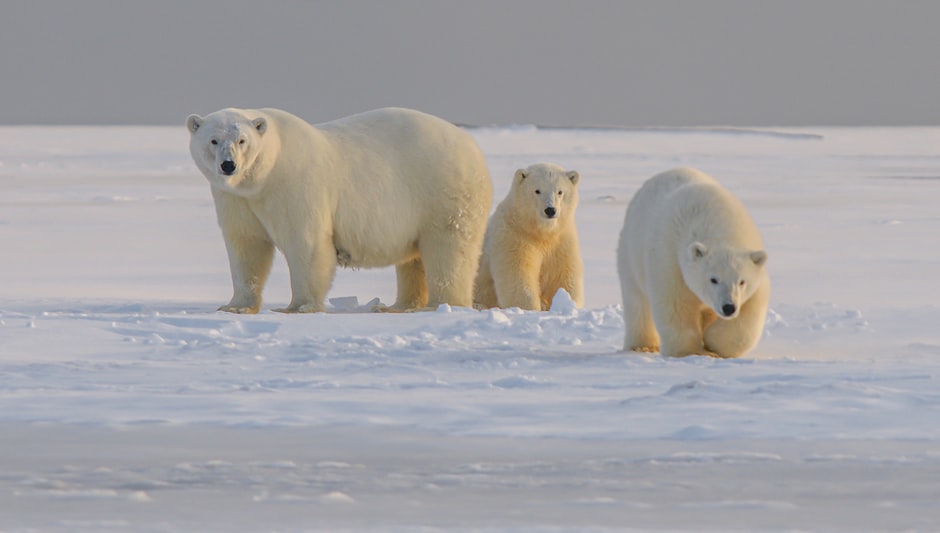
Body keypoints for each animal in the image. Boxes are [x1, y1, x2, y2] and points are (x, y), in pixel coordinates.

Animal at [185, 106, 492, 312]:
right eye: (213, 140)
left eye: (242, 141)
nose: (228, 165)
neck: (264, 176)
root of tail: (472, 146)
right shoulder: (235, 199)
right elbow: (246, 245)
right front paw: (235, 306)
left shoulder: (295, 185)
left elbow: (306, 243)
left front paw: (298, 307)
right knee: (413, 259)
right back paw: (398, 305)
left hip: (442, 192)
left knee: (448, 250)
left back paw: (442, 304)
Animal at [474, 164, 584, 310]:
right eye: (537, 190)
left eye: (560, 191)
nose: (550, 210)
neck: (539, 231)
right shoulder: (514, 236)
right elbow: (518, 276)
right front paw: (530, 308)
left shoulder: (561, 240)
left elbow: (562, 276)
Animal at [616, 166, 772, 358]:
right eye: (713, 279)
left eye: (742, 281)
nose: (728, 307)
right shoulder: (670, 259)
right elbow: (675, 304)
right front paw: (690, 351)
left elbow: (751, 311)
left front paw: (713, 343)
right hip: (630, 252)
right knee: (637, 301)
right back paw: (642, 346)